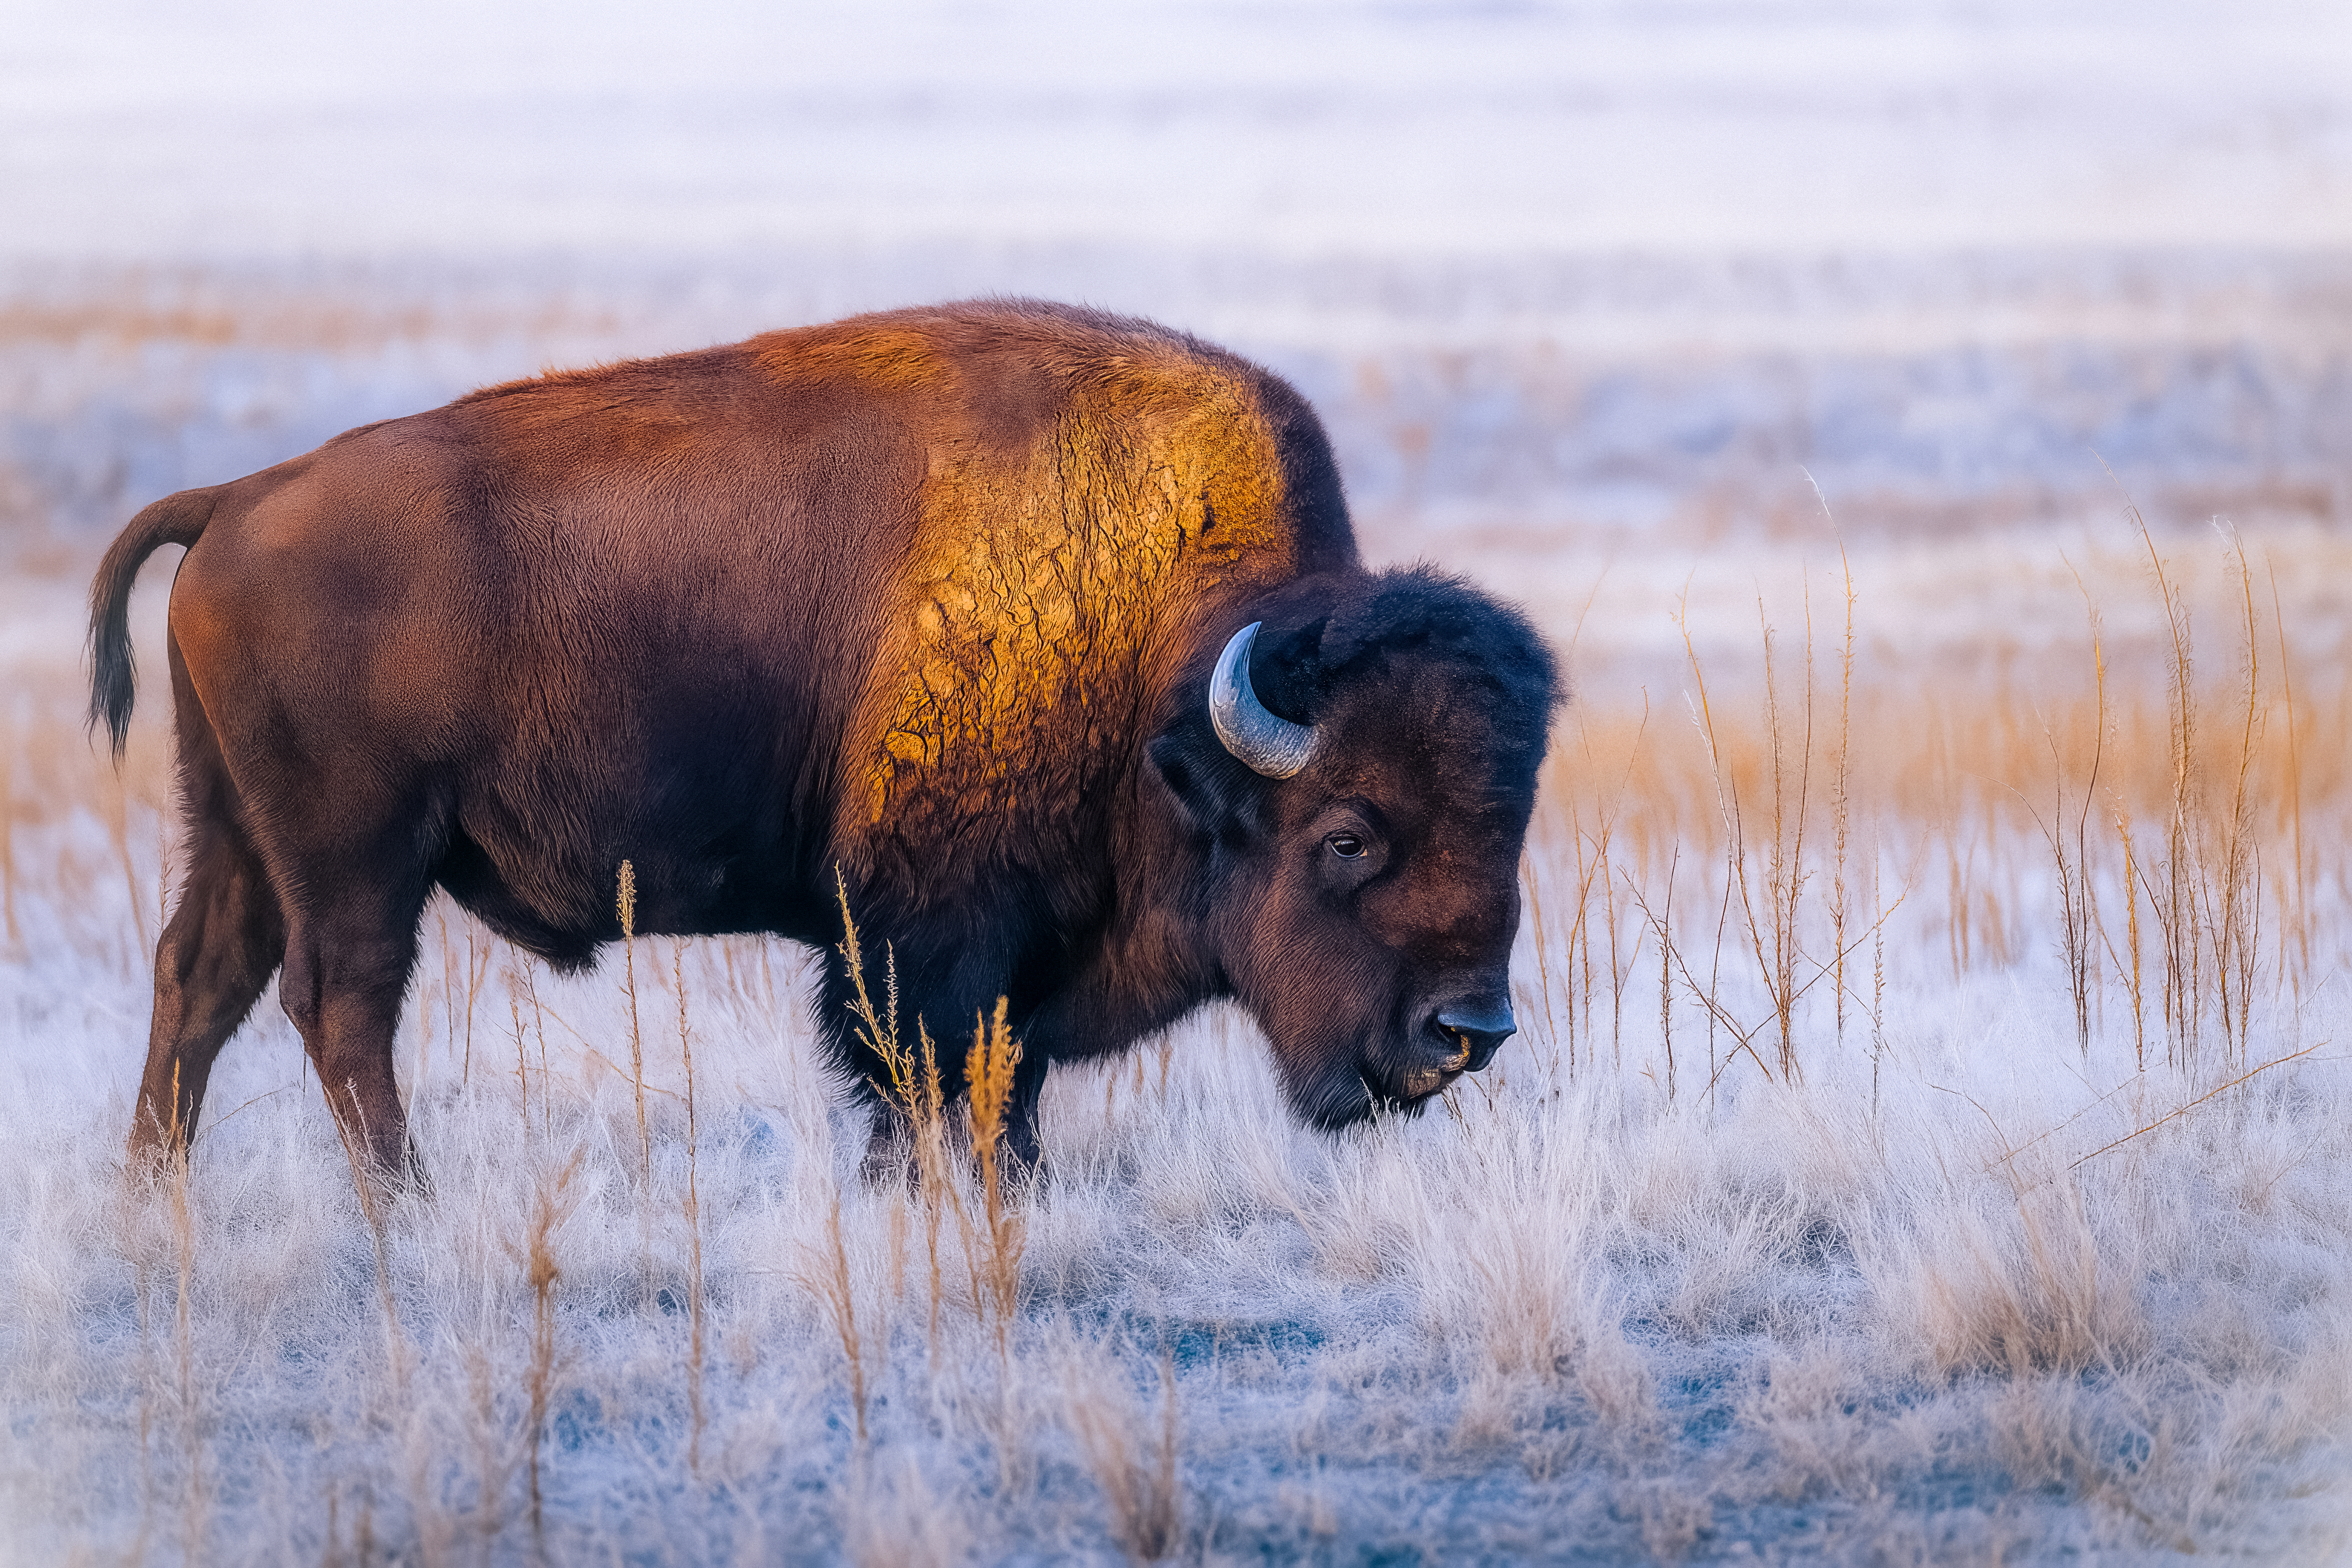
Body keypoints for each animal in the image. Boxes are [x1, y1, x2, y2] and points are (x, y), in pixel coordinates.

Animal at [89, 299, 1558, 1182]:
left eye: (1512, 825)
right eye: (1346, 834)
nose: (1467, 1029)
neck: (1163, 662)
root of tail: (239, 497)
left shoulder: (1011, 964)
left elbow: (1004, 1090)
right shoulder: (925, 939)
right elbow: (930, 1086)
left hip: (235, 830)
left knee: (200, 979)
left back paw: (157, 1202)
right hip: (357, 857)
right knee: (340, 1006)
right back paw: (407, 1209)